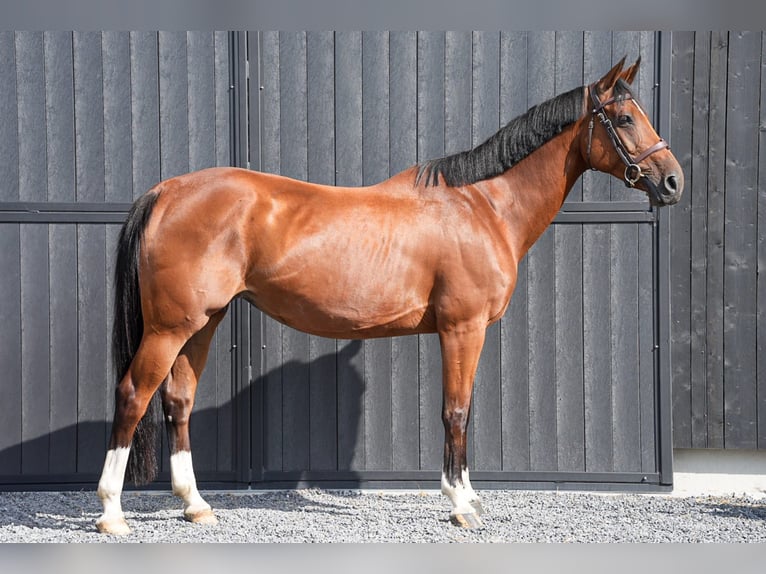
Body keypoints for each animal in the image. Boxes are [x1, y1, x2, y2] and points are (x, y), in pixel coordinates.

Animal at [95, 57, 683, 534]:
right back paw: (111, 513)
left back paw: (195, 505)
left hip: (203, 323)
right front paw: (461, 505)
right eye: (625, 119)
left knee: (178, 401)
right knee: (133, 395)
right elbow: (456, 411)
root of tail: (167, 190)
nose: (673, 182)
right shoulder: (462, 328)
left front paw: (467, 498)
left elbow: (460, 411)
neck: (481, 206)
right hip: (170, 327)